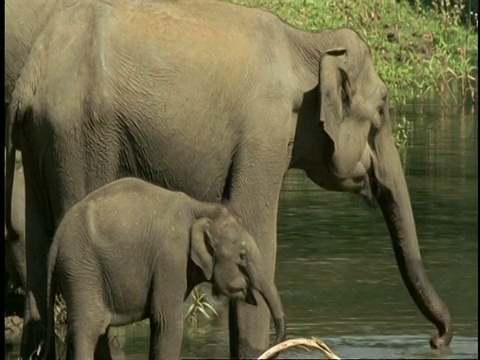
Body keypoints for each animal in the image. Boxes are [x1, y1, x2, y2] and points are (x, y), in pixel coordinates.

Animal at [45, 178, 284, 360]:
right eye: (242, 257)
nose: (279, 340)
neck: (200, 208)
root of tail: (56, 240)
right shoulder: (170, 258)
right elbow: (167, 321)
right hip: (81, 269)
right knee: (88, 328)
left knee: (100, 331)